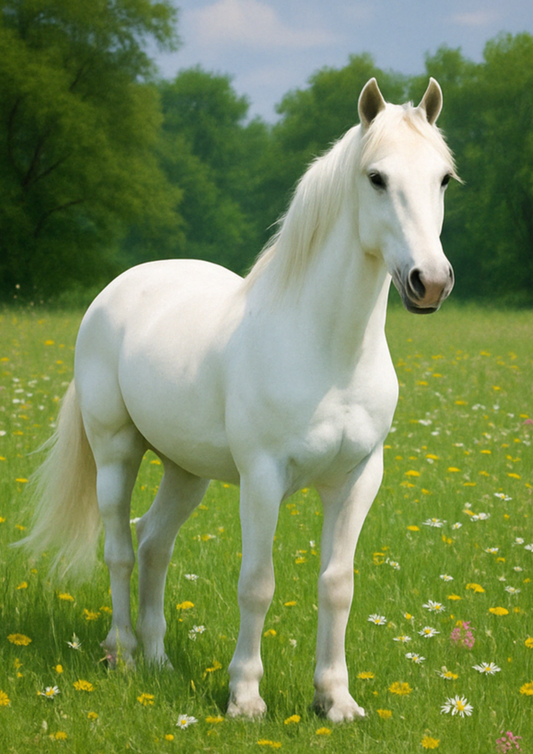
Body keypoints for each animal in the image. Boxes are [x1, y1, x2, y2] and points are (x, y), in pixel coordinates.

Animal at [20, 78, 458, 723]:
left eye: (443, 178)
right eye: (376, 177)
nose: (430, 282)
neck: (329, 351)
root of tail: (116, 290)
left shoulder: (357, 479)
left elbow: (338, 584)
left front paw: (336, 700)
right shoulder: (262, 477)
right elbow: (258, 583)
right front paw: (246, 697)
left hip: (186, 472)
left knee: (154, 543)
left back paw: (158, 661)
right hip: (116, 452)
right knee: (121, 548)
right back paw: (122, 653)